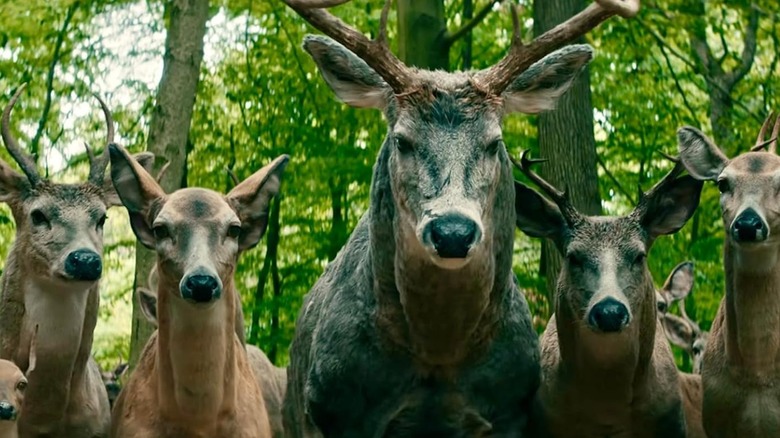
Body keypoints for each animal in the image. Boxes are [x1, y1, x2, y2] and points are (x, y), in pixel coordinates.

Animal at [280, 0, 640, 436]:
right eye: (401, 140)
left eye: (494, 143)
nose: (452, 232)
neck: (439, 356)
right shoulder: (331, 407)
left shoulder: (510, 410)